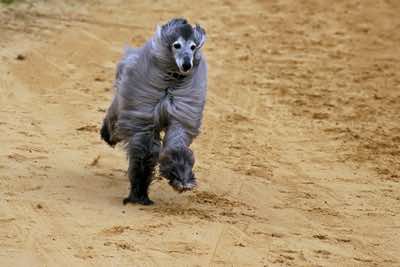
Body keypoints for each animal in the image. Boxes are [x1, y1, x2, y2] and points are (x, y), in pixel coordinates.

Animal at [100, 18, 208, 206]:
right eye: (176, 45)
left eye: (193, 47)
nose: (187, 65)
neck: (171, 80)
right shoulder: (144, 116)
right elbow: (145, 151)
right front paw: (139, 193)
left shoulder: (180, 118)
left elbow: (176, 145)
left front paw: (181, 179)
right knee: (114, 119)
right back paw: (107, 134)